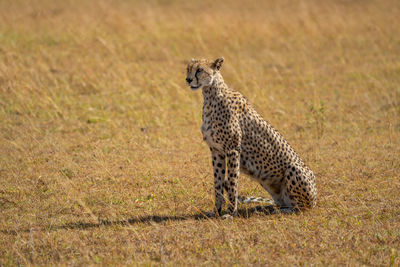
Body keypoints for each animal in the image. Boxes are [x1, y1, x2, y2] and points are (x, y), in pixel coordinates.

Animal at [186, 57, 318, 217]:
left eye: (200, 70)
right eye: (188, 69)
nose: (188, 79)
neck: (211, 94)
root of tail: (316, 200)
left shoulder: (233, 149)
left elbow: (232, 183)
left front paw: (231, 213)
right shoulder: (216, 151)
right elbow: (218, 182)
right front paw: (216, 211)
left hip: (296, 169)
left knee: (301, 207)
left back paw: (281, 210)